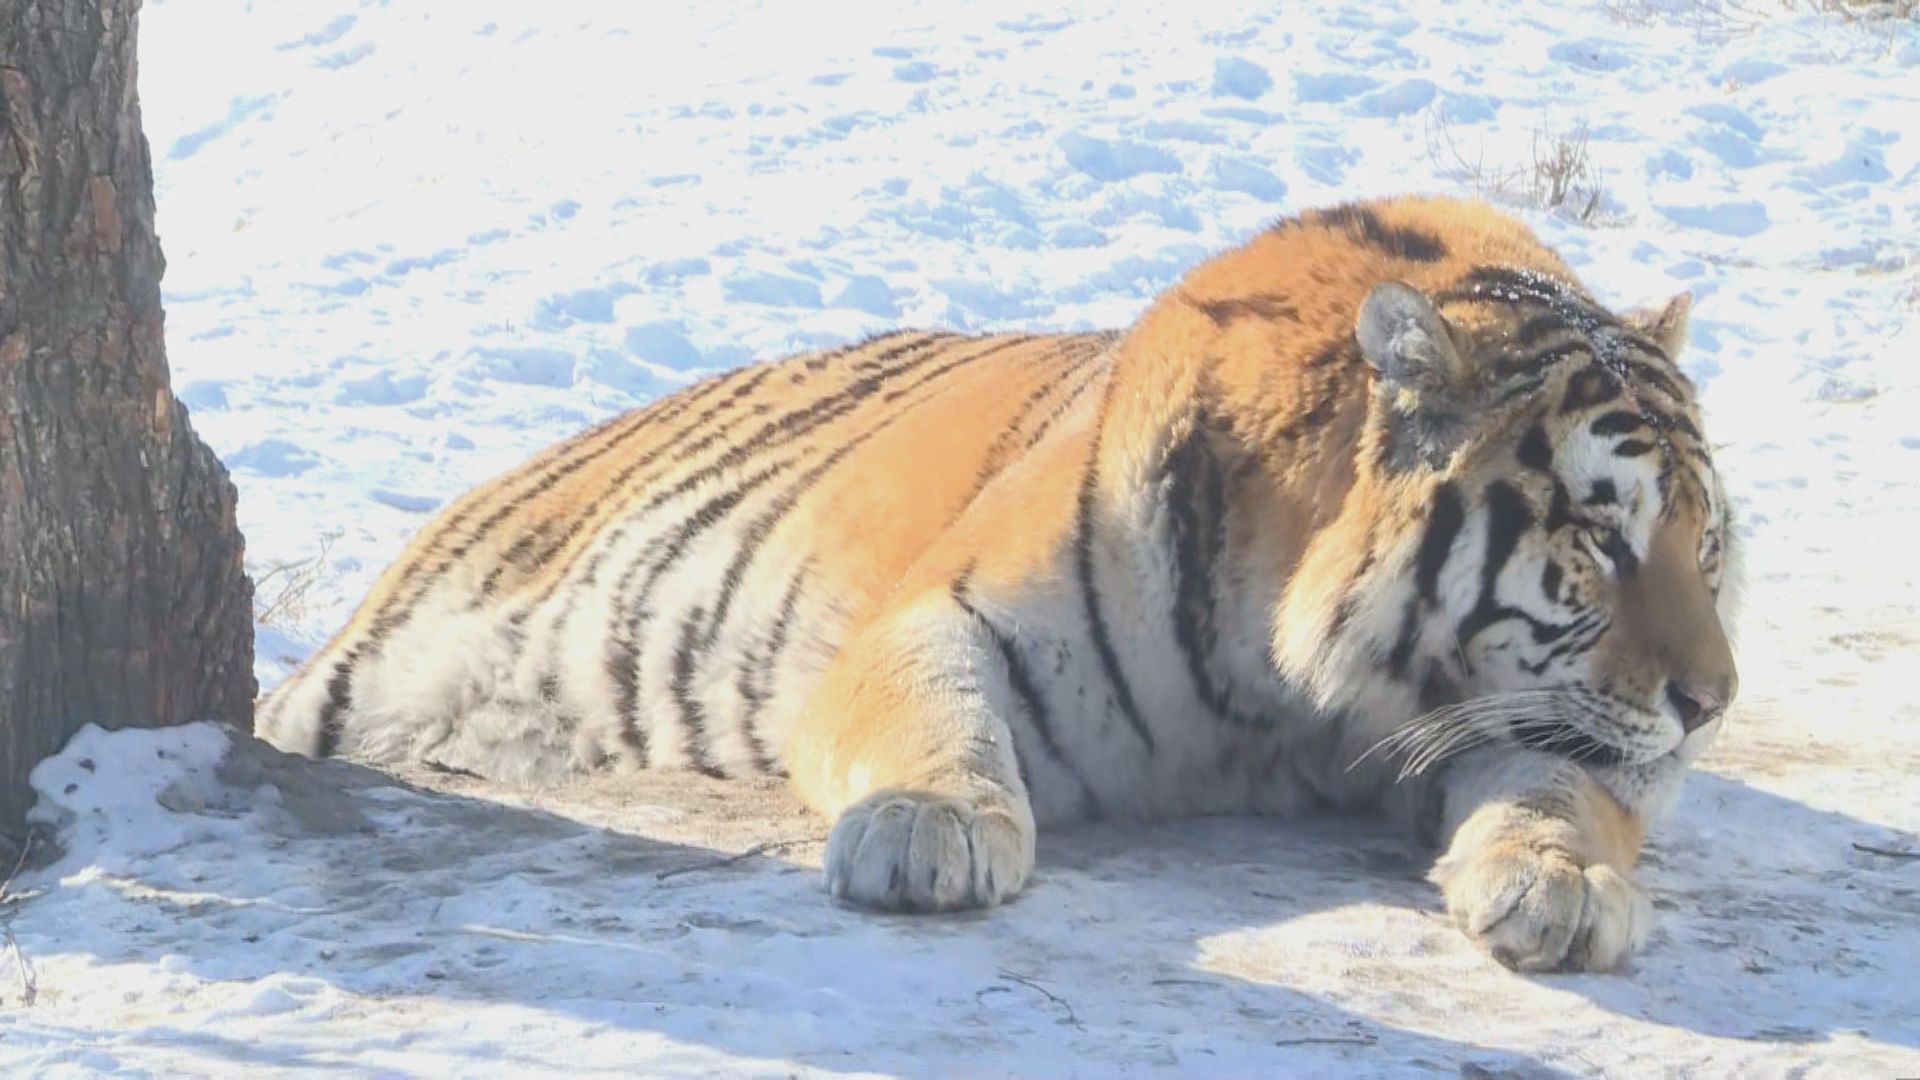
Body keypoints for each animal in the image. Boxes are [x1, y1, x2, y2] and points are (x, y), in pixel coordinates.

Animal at [255, 193, 1743, 968]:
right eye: (1600, 534)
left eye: (1707, 543)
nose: (1713, 705)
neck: (1306, 704)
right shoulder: (943, 614)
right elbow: (935, 718)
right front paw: (930, 830)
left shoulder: (1547, 725)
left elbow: (1564, 791)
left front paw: (1560, 890)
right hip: (364, 682)